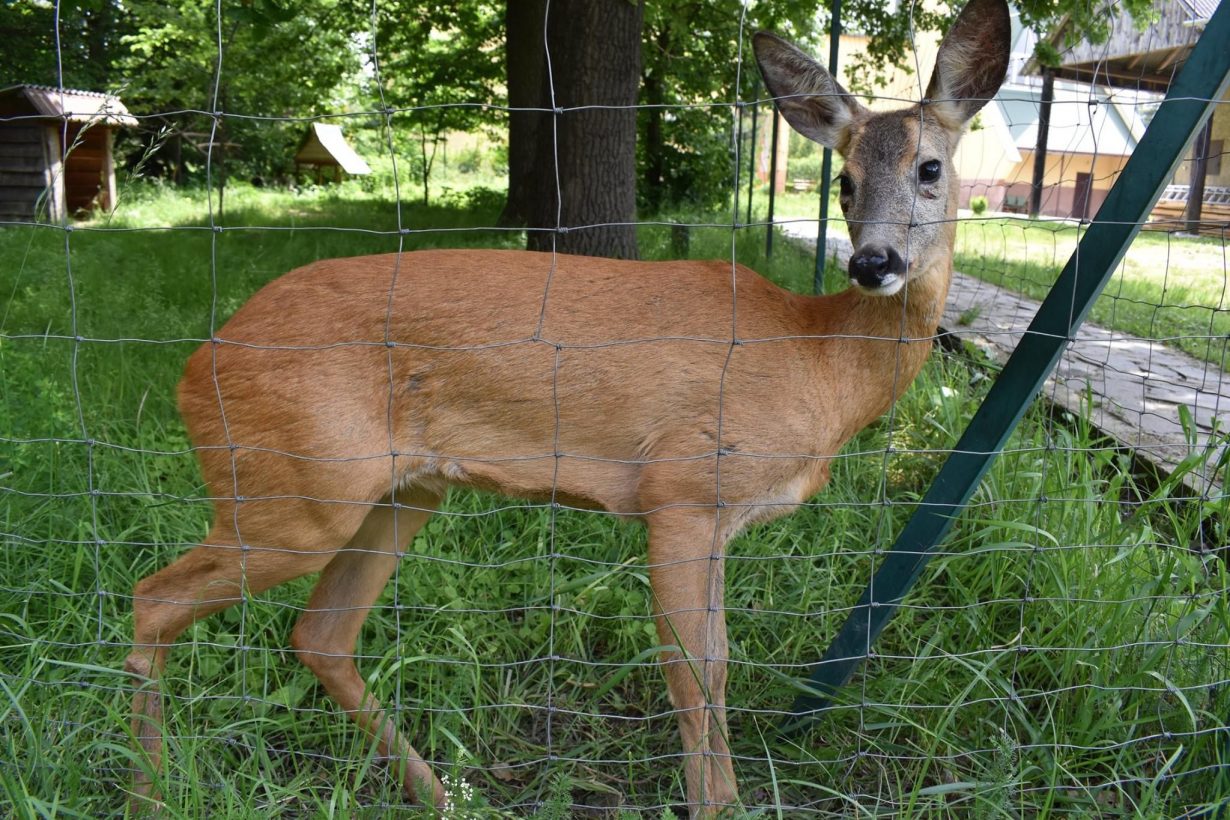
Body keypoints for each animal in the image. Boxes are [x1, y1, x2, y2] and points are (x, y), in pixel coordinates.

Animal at [124, 0, 1008, 816]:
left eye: (930, 168)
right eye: (845, 182)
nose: (873, 262)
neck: (814, 357)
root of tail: (196, 367)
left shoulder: (717, 517)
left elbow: (715, 664)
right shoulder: (681, 489)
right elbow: (696, 674)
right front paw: (715, 803)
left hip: (397, 493)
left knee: (319, 635)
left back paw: (443, 795)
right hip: (293, 492)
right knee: (154, 599)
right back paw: (152, 793)